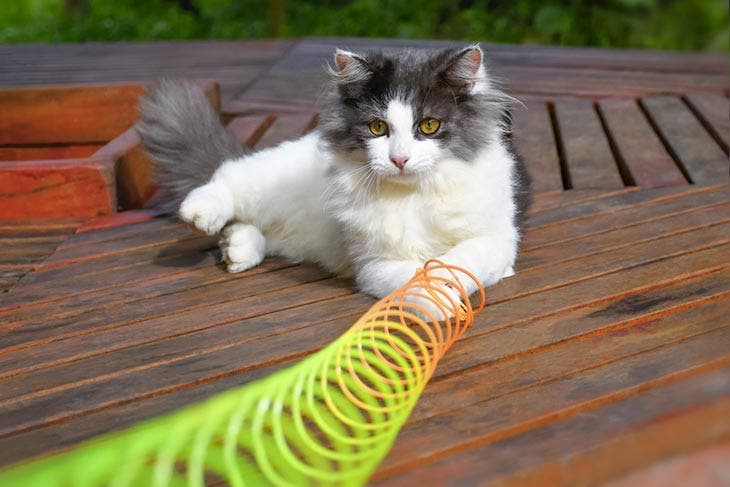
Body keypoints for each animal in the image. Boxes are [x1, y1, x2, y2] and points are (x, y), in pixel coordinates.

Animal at [136, 43, 528, 302]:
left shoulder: (498, 237)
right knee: (229, 176)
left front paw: (449, 281)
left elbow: (467, 260)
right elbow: (412, 275)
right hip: (268, 179)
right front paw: (433, 296)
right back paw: (202, 214)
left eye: (429, 125)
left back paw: (237, 249)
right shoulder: (373, 263)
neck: (411, 196)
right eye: (377, 128)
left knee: (256, 229)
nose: (399, 159)